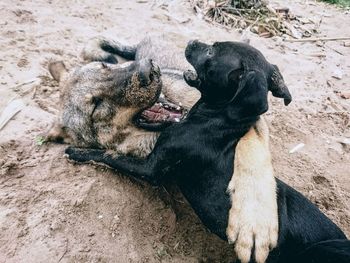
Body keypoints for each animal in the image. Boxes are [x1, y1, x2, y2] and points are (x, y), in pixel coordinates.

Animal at [65, 40, 348, 262]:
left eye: (212, 52)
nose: (191, 41)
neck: (214, 120)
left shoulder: (151, 169)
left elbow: (109, 156)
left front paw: (78, 152)